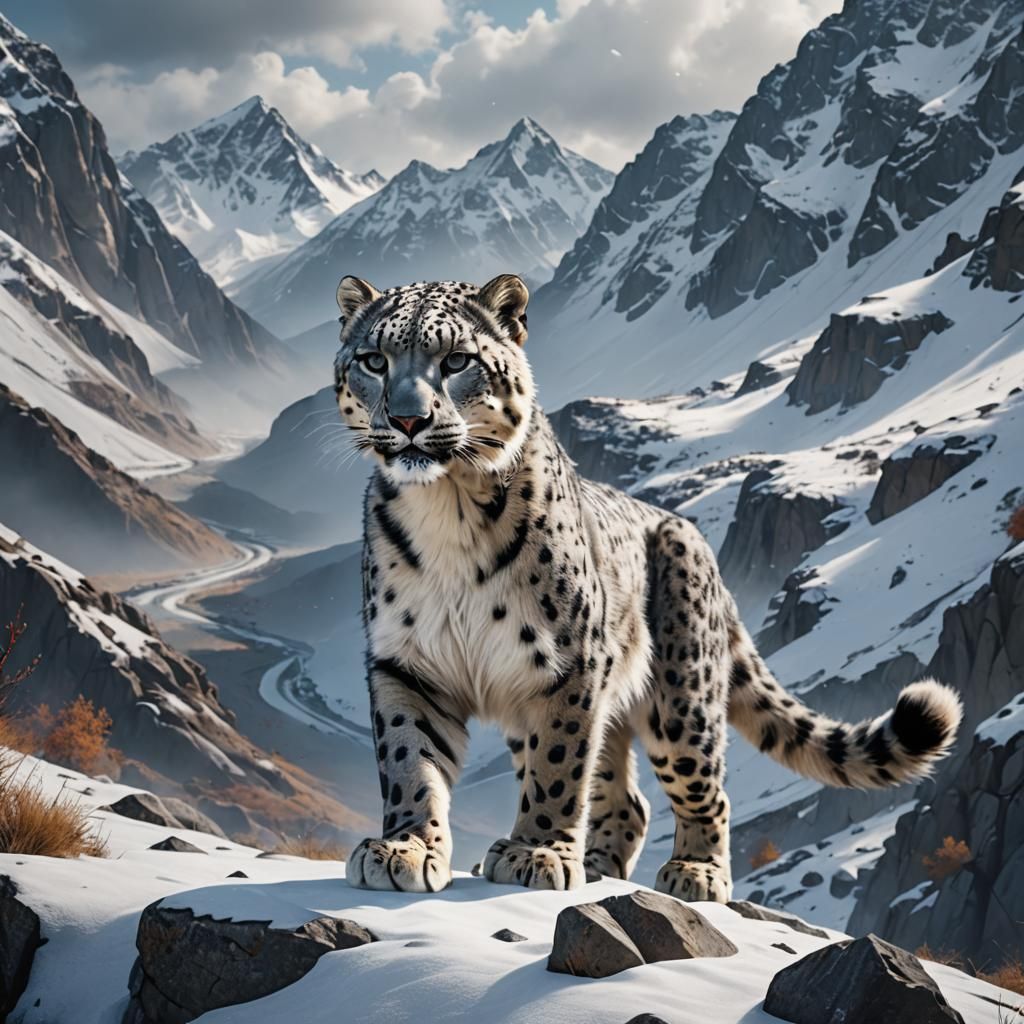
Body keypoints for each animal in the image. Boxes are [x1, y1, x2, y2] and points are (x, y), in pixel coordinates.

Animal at [333, 272, 962, 900]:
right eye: (374, 360)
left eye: (458, 359)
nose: (408, 421)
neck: (450, 506)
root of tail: (708, 559)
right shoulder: (406, 661)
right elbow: (410, 758)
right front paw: (406, 848)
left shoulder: (567, 663)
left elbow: (557, 765)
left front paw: (537, 852)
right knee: (624, 796)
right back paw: (597, 865)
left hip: (681, 699)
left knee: (703, 789)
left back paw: (695, 872)